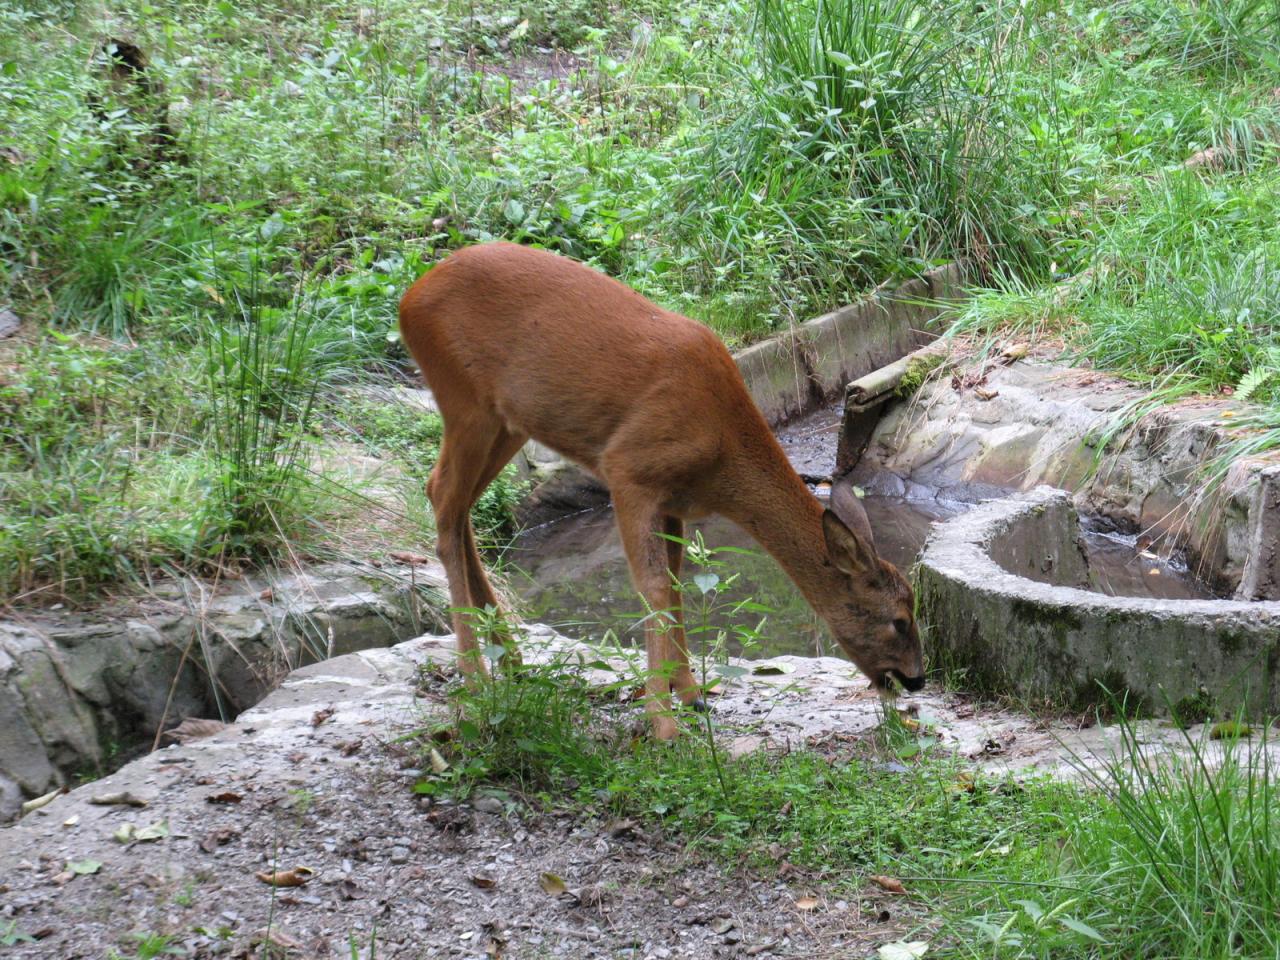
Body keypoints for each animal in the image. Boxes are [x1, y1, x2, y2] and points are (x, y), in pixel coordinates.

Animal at [399, 244, 921, 742]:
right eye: (899, 619)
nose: (916, 679)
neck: (720, 450)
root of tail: (409, 299)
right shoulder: (629, 470)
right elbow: (651, 587)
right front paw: (662, 723)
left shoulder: (675, 503)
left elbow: (675, 585)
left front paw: (691, 693)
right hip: (463, 397)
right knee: (442, 496)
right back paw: (474, 676)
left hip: (507, 420)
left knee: (454, 502)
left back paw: (510, 657)